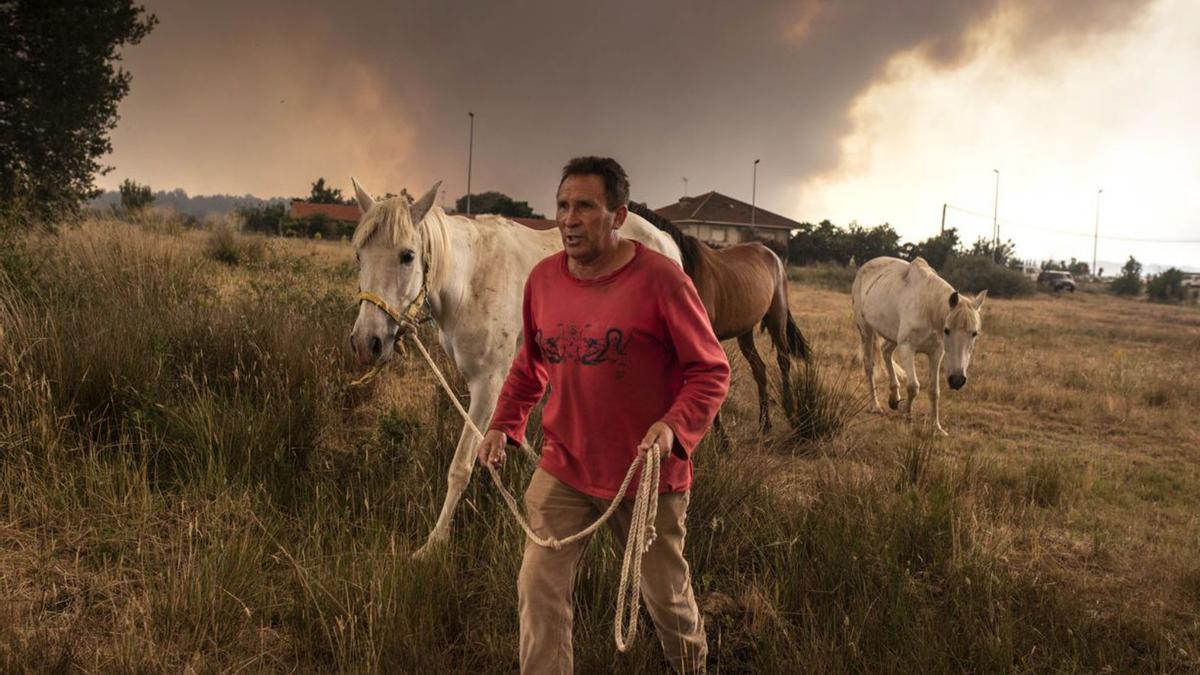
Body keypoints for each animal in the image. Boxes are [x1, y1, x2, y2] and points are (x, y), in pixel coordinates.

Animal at [350, 176, 686, 554]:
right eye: (359, 255)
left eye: (407, 255)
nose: (366, 342)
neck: (468, 282)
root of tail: (664, 239)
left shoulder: (488, 383)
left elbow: (461, 466)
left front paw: (433, 544)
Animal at [628, 200, 816, 429]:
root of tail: (773, 256)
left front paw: (720, 435)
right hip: (745, 331)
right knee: (759, 369)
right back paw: (765, 424)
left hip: (776, 318)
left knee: (783, 360)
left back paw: (791, 413)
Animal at [849, 254, 988, 432]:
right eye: (947, 330)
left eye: (974, 333)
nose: (957, 380)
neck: (927, 308)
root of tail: (864, 267)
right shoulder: (907, 348)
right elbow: (913, 386)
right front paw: (906, 413)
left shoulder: (936, 353)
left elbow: (934, 391)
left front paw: (936, 427)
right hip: (866, 330)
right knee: (869, 366)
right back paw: (876, 406)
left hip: (893, 336)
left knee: (886, 352)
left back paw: (894, 398)